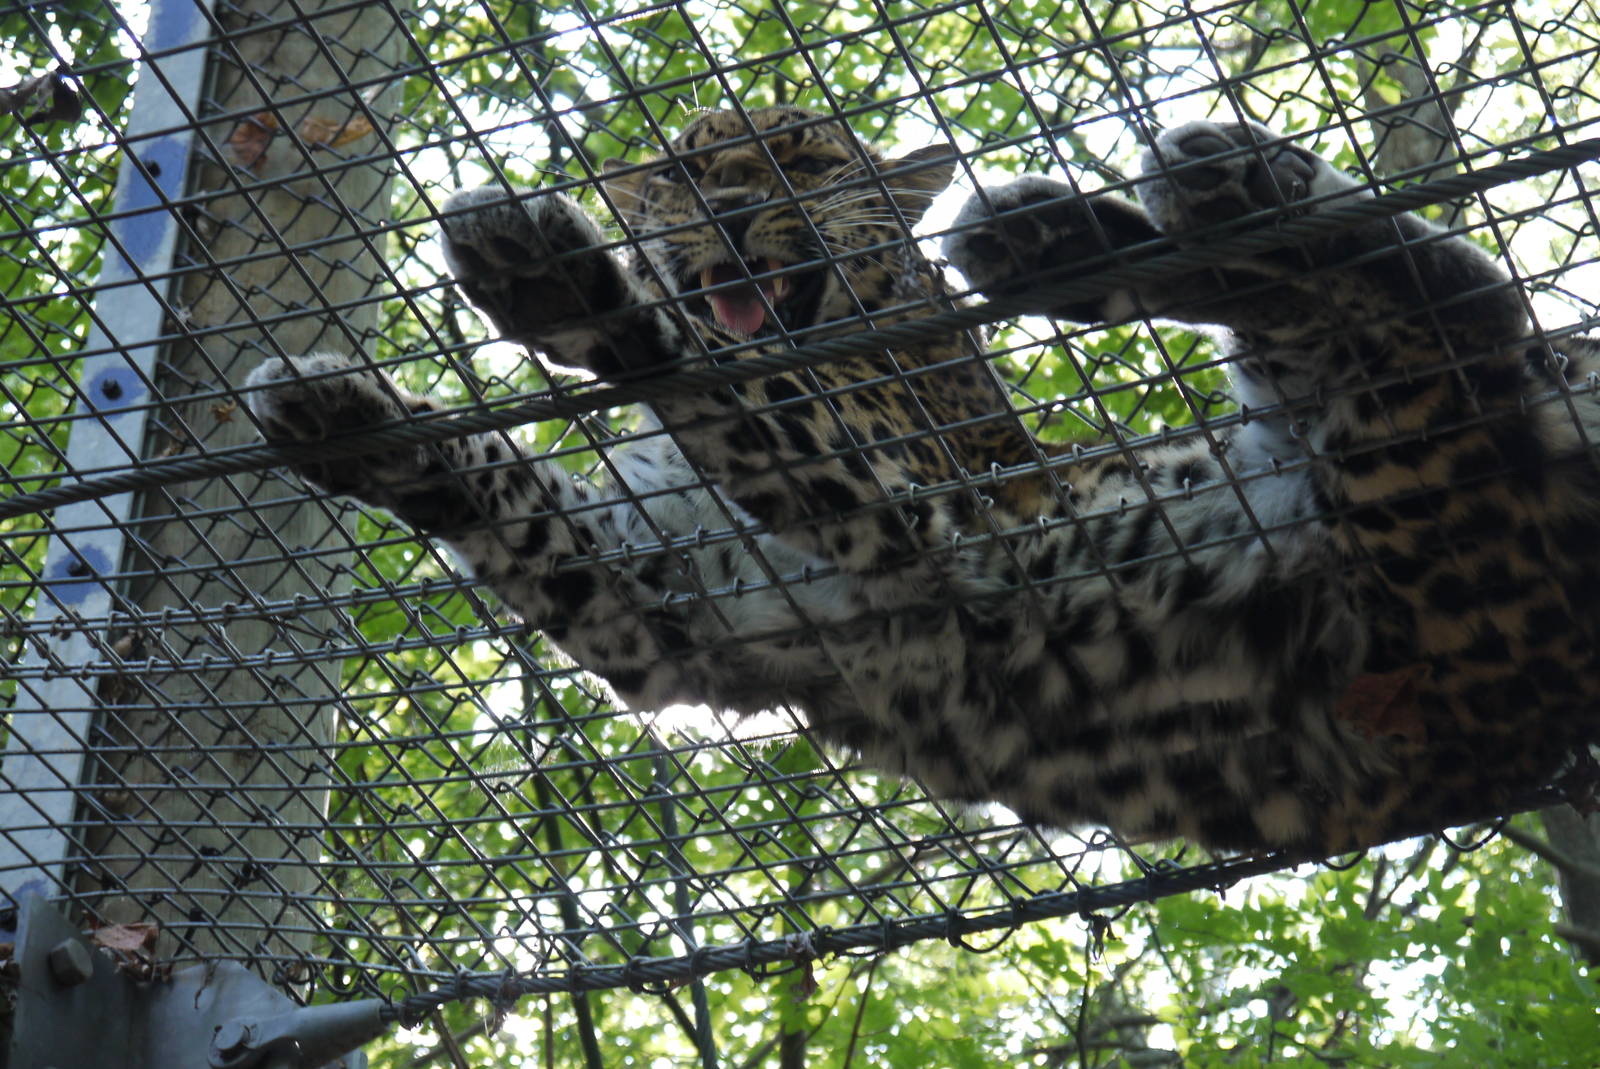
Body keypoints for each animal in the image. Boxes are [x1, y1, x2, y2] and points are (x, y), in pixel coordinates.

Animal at [245, 104, 1600, 854]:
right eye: (682, 177)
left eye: (803, 165)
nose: (726, 215)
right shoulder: (672, 601)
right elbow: (511, 494)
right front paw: (352, 420)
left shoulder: (917, 530)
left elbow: (702, 373)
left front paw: (551, 278)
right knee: (1403, 310)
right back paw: (1087, 229)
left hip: (1416, 481)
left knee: (1454, 303)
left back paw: (1193, 187)